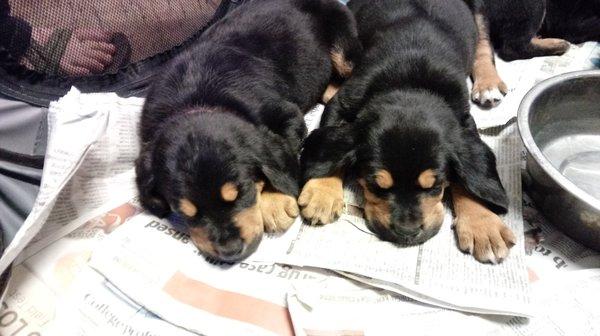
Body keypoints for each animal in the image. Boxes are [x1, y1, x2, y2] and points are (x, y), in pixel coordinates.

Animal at [137, 0, 360, 262]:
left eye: (241, 192)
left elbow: (279, 162)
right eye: (185, 212)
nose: (230, 251)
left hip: (344, 48)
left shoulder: (287, 115)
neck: (195, 102)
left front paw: (274, 204)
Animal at [300, 0, 516, 264]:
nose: (407, 233)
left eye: (435, 186)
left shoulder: (464, 122)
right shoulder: (342, 103)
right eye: (376, 186)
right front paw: (321, 192)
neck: (410, 84)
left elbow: (466, 177)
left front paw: (483, 226)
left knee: (484, 45)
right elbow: (331, 143)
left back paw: (488, 83)